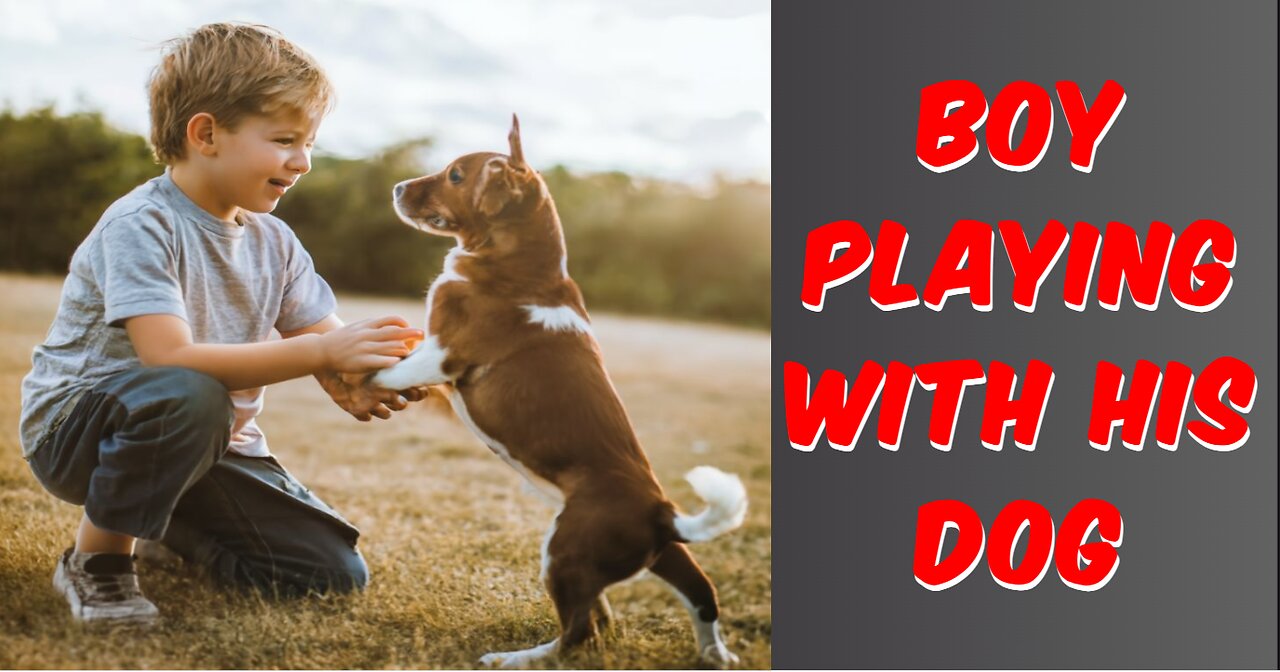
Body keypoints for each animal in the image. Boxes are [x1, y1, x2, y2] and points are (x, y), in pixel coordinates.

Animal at [371, 115, 747, 665]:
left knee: (578, 635)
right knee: (700, 596)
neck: (524, 266)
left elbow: (385, 372)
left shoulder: (442, 354)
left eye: (456, 175)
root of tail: (662, 514)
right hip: (663, 559)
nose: (397, 188)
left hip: (564, 552)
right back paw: (715, 655)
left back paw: (514, 659)